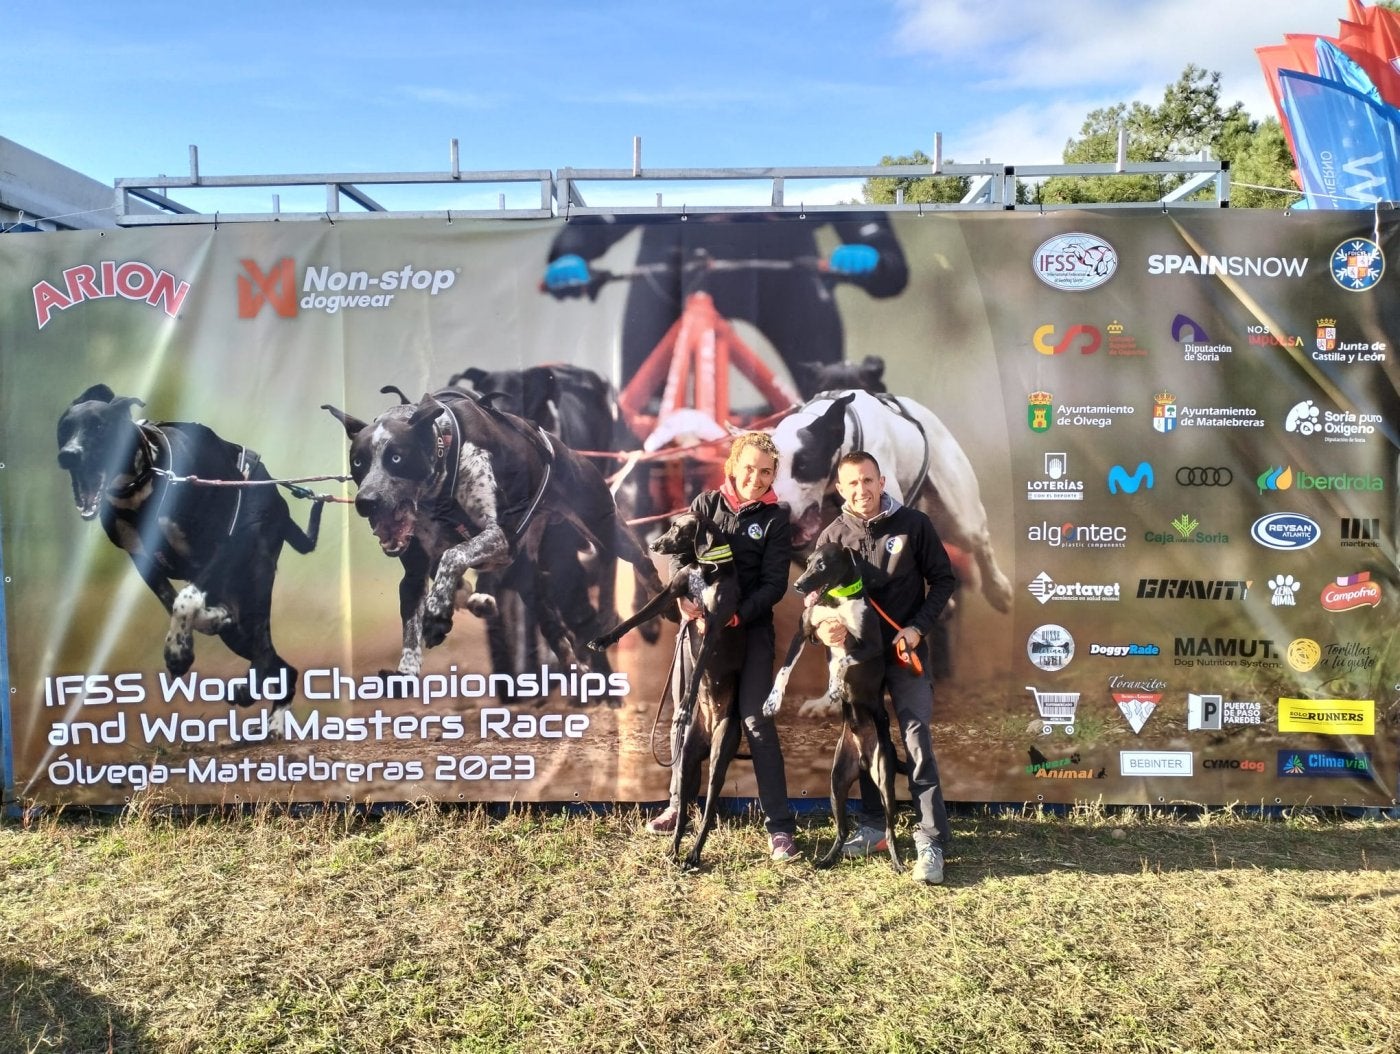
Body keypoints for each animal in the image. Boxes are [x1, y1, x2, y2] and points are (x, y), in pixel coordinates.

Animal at [55, 380, 322, 733]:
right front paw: (203, 623)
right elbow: (178, 604)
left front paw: (178, 652)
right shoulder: (143, 561)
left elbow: (186, 599)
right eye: (64, 428)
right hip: (237, 625)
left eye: (99, 427)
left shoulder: (225, 546)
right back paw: (272, 715)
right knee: (281, 664)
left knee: (266, 650)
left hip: (256, 576)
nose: (68, 455)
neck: (146, 483)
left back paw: (262, 705)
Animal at [324, 386, 663, 691]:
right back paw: (575, 669)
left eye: (396, 458)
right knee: (557, 635)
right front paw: (408, 667)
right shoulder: (416, 573)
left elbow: (453, 556)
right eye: (358, 462)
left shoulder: (498, 537)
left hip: (605, 527)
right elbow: (412, 625)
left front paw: (438, 612)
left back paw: (659, 601)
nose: (367, 501)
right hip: (532, 585)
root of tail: (565, 449)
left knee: (642, 560)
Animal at [761, 543, 901, 873]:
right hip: (836, 784)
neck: (836, 600)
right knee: (842, 830)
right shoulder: (805, 632)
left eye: (822, 565)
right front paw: (772, 702)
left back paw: (898, 863)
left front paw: (836, 686)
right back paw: (826, 860)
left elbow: (844, 660)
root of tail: (863, 756)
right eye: (808, 561)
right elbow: (783, 671)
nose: (798, 586)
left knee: (890, 829)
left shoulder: (871, 645)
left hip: (885, 778)